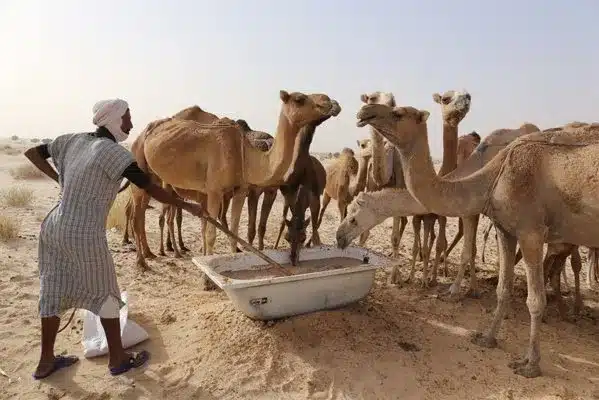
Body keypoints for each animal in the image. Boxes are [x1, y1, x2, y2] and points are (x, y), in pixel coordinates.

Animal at [129, 91, 340, 272]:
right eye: (299, 99)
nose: (331, 102)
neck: (245, 156)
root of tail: (142, 134)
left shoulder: (240, 191)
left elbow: (234, 231)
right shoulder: (214, 191)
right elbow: (210, 234)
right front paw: (208, 275)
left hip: (153, 180)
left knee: (143, 213)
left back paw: (149, 254)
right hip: (138, 164)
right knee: (136, 216)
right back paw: (142, 262)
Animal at [354, 101, 599, 376]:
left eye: (398, 113)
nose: (365, 111)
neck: (494, 177)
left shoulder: (531, 232)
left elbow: (535, 299)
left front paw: (531, 364)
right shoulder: (506, 229)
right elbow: (503, 289)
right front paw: (487, 338)